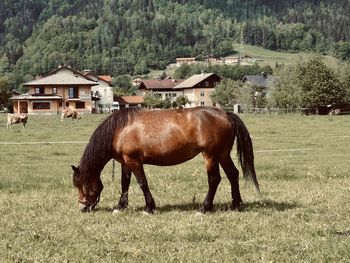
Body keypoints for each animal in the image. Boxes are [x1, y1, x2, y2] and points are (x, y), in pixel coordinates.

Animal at [71, 107, 258, 214]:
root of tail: (226, 114)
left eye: (84, 186)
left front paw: (149, 208)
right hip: (223, 154)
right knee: (233, 174)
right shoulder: (125, 162)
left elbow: (142, 183)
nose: (83, 207)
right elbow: (125, 183)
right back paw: (236, 204)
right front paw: (120, 206)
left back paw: (205, 208)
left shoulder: (134, 161)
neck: (119, 129)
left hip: (210, 155)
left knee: (214, 179)